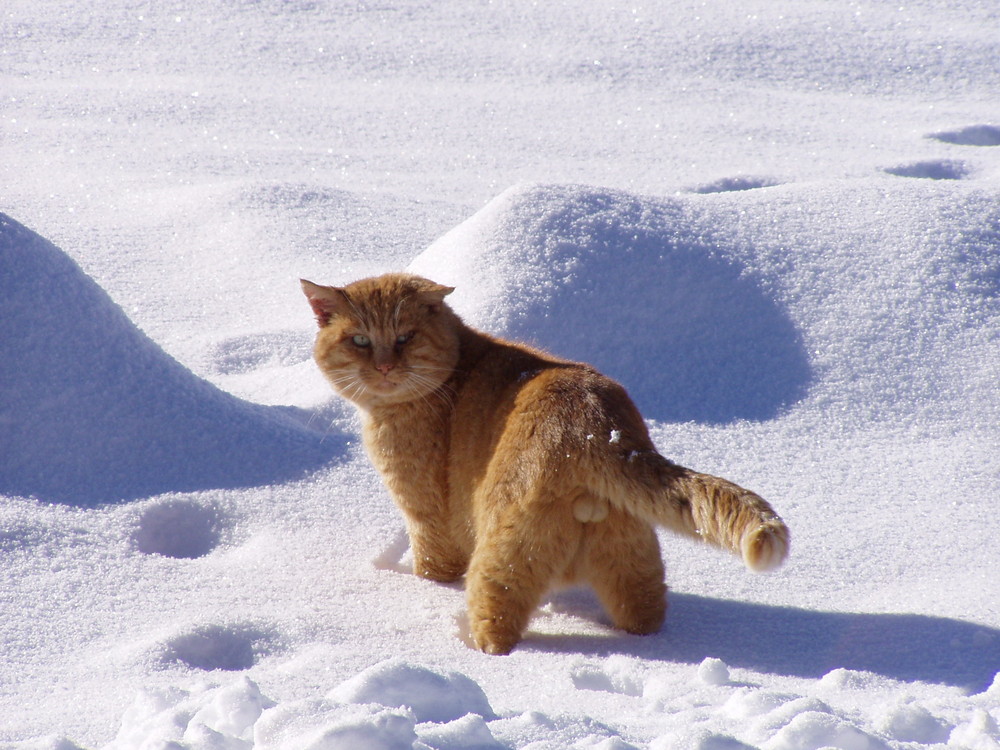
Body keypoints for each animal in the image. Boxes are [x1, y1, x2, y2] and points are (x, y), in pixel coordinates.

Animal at [300, 274, 784, 656]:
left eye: (405, 337)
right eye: (360, 340)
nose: (384, 366)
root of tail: (598, 427)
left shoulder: (429, 520)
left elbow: (432, 569)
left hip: (503, 546)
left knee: (497, 613)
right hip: (632, 556)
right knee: (646, 612)